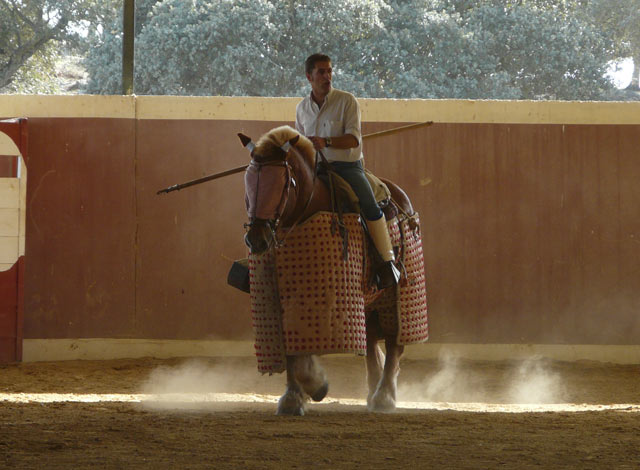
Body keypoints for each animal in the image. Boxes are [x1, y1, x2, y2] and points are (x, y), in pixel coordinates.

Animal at [238, 125, 428, 414]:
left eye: (283, 184)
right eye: (248, 183)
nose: (257, 239)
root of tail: (399, 197)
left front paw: (316, 385)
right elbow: (292, 347)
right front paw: (293, 397)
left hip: (395, 296)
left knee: (394, 340)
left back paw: (384, 396)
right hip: (368, 301)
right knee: (371, 341)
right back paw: (372, 389)